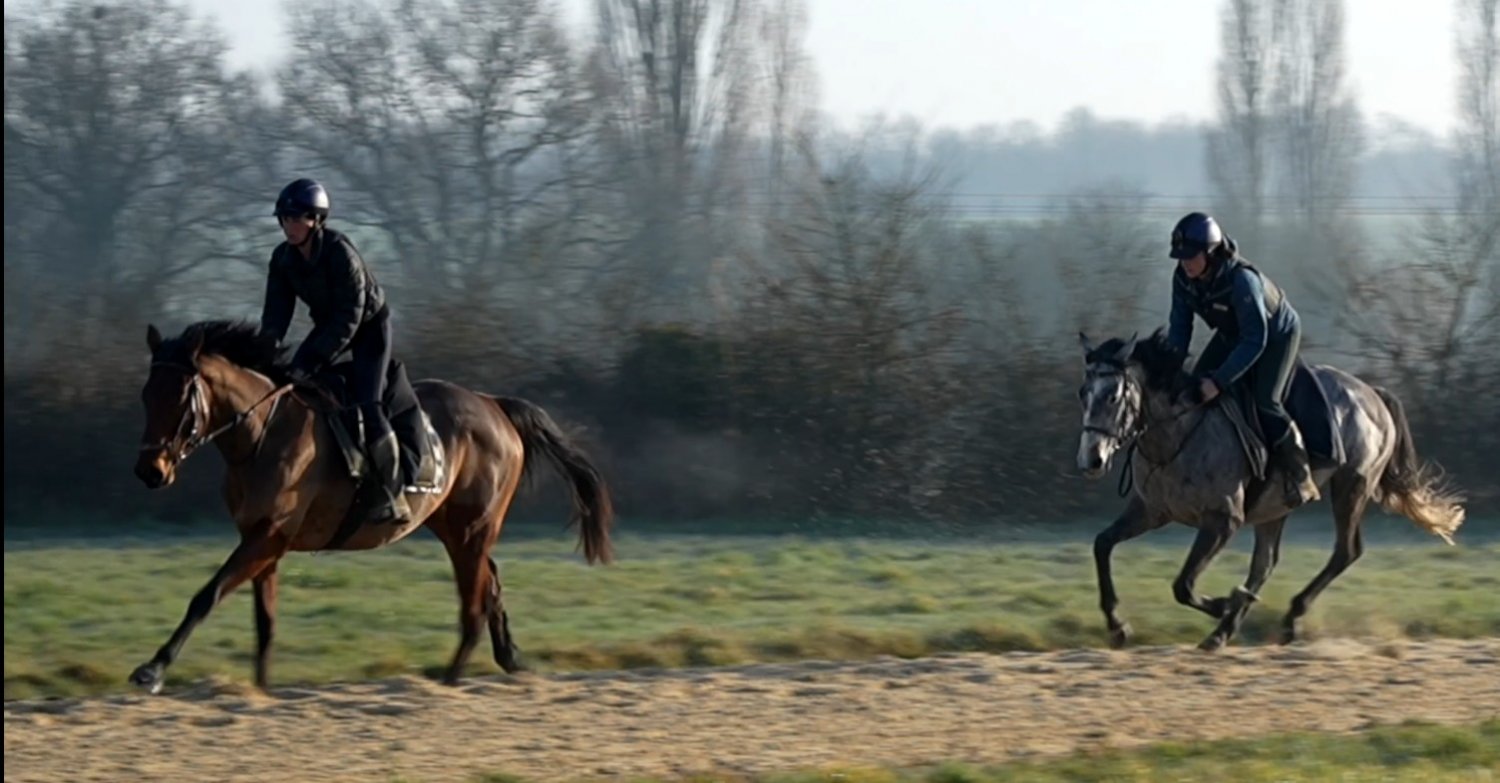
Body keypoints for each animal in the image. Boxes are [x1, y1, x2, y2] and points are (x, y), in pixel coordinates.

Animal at [131, 319, 615, 693]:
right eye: (146, 395)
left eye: (180, 398)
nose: (150, 471)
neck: (260, 435)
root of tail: (494, 405)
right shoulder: (263, 541)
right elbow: (265, 623)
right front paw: (262, 689)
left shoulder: (267, 537)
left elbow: (205, 596)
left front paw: (152, 670)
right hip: (453, 527)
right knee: (490, 584)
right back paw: (509, 659)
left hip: (472, 528)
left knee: (474, 606)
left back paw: (448, 684)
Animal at [1074, 328, 1464, 652]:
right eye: (1084, 393)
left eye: (1113, 396)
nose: (1091, 459)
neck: (1179, 433)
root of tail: (1373, 394)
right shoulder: (1152, 510)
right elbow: (1102, 545)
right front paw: (1117, 627)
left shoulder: (1223, 520)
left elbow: (1183, 585)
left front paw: (1225, 603)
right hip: (1275, 508)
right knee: (1266, 564)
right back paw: (1225, 632)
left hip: (1352, 485)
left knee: (1346, 551)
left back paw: (1285, 618)